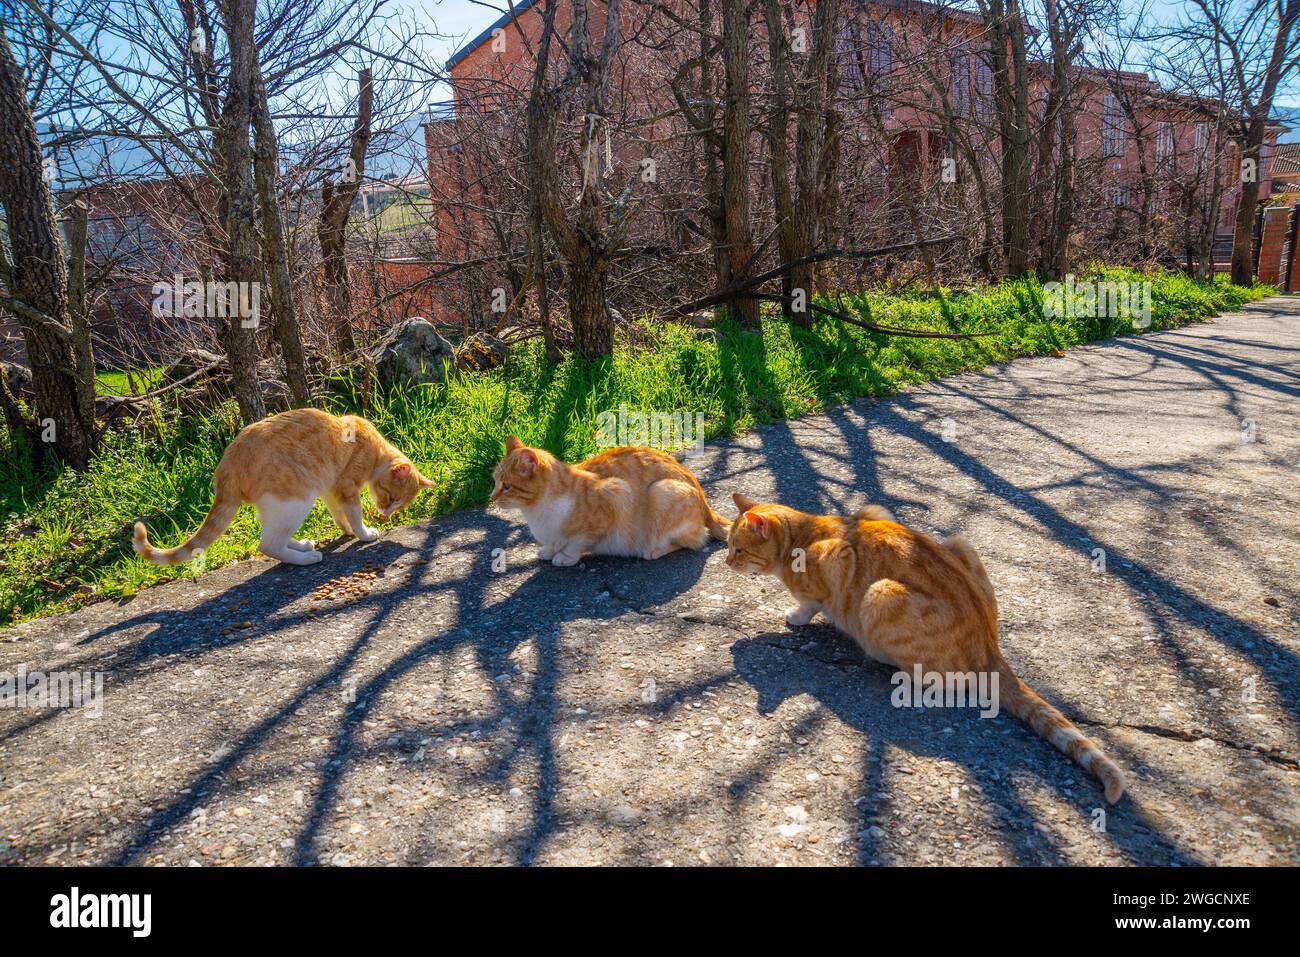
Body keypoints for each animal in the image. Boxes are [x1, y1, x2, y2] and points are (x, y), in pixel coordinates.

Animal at [135, 405, 434, 566]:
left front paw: (347, 531)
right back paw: (306, 559)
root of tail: (226, 466)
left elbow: (340, 516)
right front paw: (363, 534)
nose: (386, 514)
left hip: (284, 506)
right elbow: (355, 515)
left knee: (272, 536)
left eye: (398, 505)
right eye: (390, 497)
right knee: (267, 545)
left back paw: (301, 546)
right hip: (297, 500)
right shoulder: (346, 489)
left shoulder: (330, 491)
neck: (374, 450)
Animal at [488, 436, 733, 564]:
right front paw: (549, 550)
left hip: (663, 492)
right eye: (494, 481)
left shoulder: (614, 496)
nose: (491, 498)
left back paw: (653, 551)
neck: (535, 512)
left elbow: (577, 543)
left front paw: (564, 556)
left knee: (695, 540)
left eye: (506, 486)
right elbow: (552, 543)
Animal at [728, 496, 1123, 806]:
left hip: (881, 595)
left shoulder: (834, 561)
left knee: (943, 680)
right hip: (960, 543)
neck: (803, 533)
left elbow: (809, 603)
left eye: (739, 549)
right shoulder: (875, 511)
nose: (727, 562)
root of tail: (988, 644)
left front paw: (796, 616)